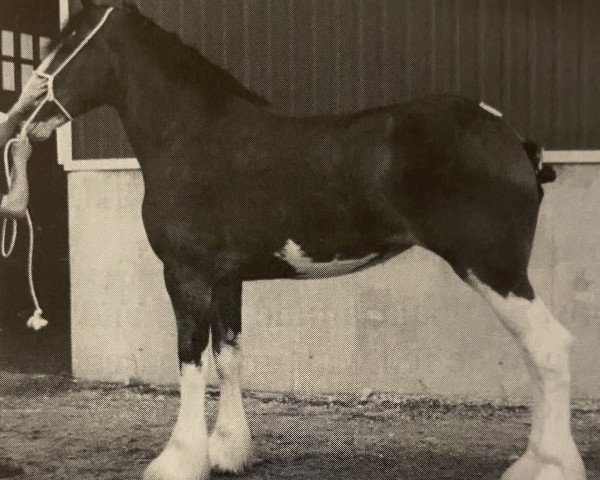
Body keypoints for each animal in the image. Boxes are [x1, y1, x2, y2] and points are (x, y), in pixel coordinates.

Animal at [30, 3, 584, 480]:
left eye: (71, 42)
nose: (27, 113)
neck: (193, 135)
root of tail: (512, 139)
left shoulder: (186, 274)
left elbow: (190, 359)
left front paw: (180, 460)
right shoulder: (226, 279)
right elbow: (228, 356)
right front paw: (230, 452)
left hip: (495, 270)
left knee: (548, 348)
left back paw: (549, 467)